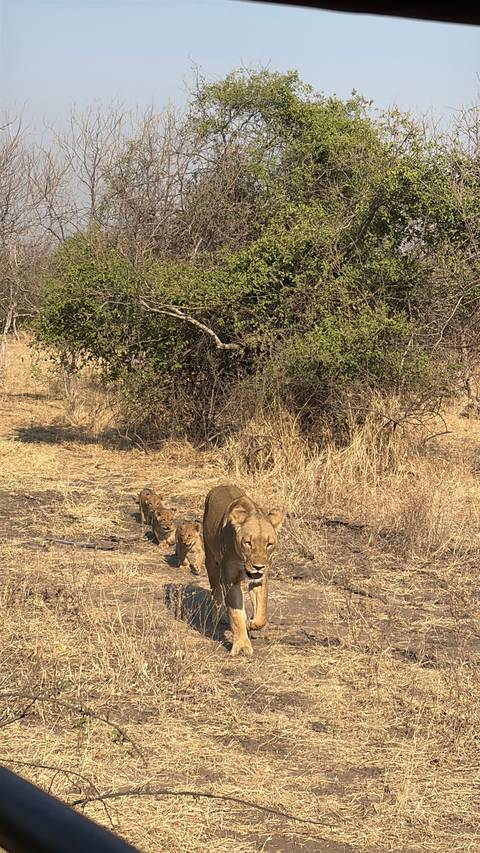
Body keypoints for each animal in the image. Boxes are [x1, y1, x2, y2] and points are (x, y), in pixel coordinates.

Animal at [202, 483, 284, 657]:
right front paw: (241, 645)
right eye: (248, 543)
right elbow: (236, 614)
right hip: (211, 561)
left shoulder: (260, 579)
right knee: (215, 590)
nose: (258, 566)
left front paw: (250, 623)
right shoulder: (230, 579)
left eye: (269, 544)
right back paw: (216, 616)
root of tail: (220, 485)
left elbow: (261, 615)